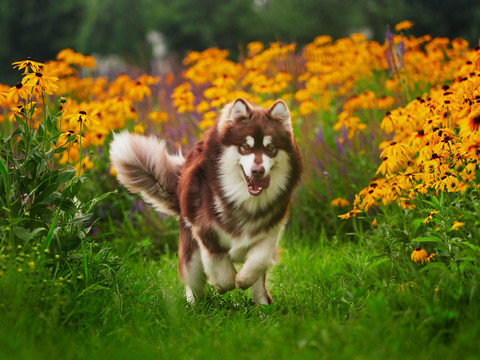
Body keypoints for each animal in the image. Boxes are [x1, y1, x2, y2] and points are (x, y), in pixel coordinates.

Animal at [110, 98, 302, 304]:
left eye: (270, 148)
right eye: (246, 147)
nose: (257, 171)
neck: (243, 199)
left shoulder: (269, 230)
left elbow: (260, 260)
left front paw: (243, 279)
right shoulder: (205, 230)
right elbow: (223, 272)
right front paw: (221, 284)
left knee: (259, 286)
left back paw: (263, 307)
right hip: (191, 252)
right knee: (193, 283)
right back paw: (194, 306)